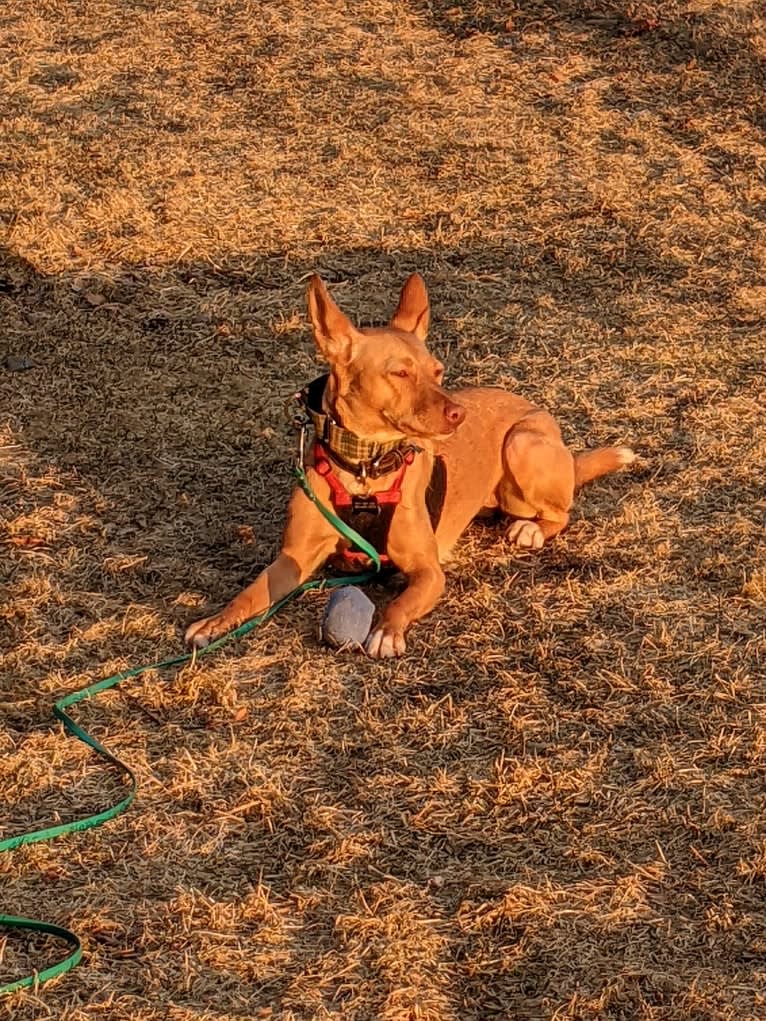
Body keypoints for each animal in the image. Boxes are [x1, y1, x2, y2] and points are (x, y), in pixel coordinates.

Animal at [185, 273, 637, 653]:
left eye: (437, 371)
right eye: (399, 373)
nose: (458, 415)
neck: (365, 470)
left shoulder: (428, 570)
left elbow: (401, 602)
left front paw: (387, 631)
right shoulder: (292, 559)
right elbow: (251, 592)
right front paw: (215, 621)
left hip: (521, 443)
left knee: (561, 511)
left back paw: (531, 529)